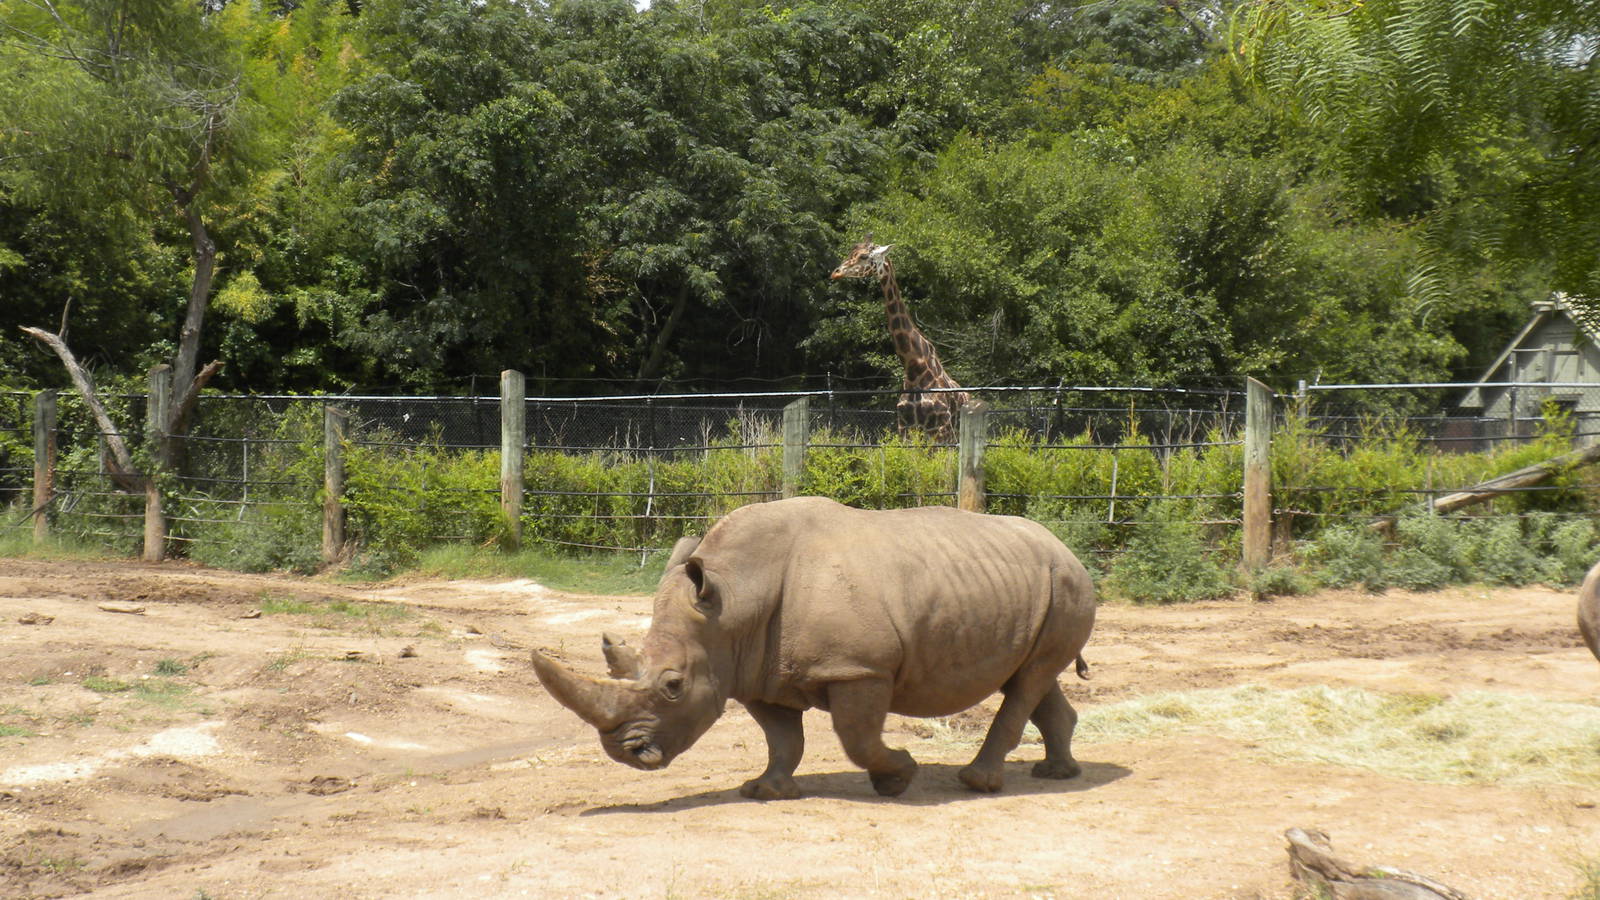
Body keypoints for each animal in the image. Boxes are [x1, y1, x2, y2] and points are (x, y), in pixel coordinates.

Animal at [531, 496, 1096, 799]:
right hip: (1034, 584)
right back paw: (1057, 773)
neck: (734, 600)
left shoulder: (858, 668)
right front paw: (764, 791)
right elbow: (782, 739)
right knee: (1031, 676)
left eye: (673, 686)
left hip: (1067, 581)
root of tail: (1066, 547)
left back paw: (977, 782)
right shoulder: (756, 672)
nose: (624, 753)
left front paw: (898, 777)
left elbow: (856, 737)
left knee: (1028, 679)